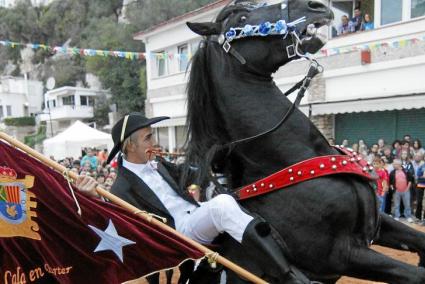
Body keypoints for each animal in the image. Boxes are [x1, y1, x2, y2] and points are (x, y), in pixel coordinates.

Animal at [183, 0, 425, 284]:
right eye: (241, 18)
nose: (316, 6)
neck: (290, 159)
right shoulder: (340, 255)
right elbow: (417, 275)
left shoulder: (378, 224)